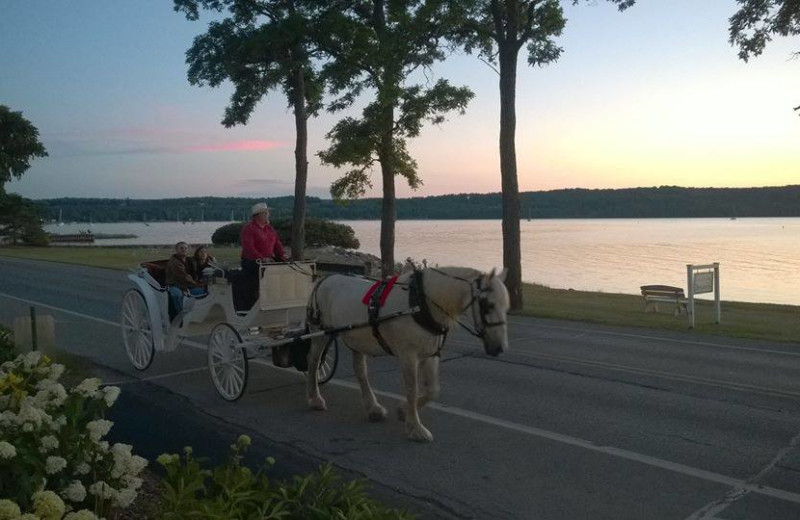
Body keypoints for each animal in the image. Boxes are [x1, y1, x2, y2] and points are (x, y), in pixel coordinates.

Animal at [306, 268, 512, 442]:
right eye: (488, 305)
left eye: (506, 307)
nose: (500, 348)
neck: (421, 303)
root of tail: (325, 279)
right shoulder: (408, 356)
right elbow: (412, 390)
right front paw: (415, 427)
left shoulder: (430, 354)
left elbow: (433, 390)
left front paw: (403, 411)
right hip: (321, 333)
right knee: (314, 363)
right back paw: (315, 399)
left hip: (357, 339)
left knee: (360, 371)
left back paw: (373, 408)